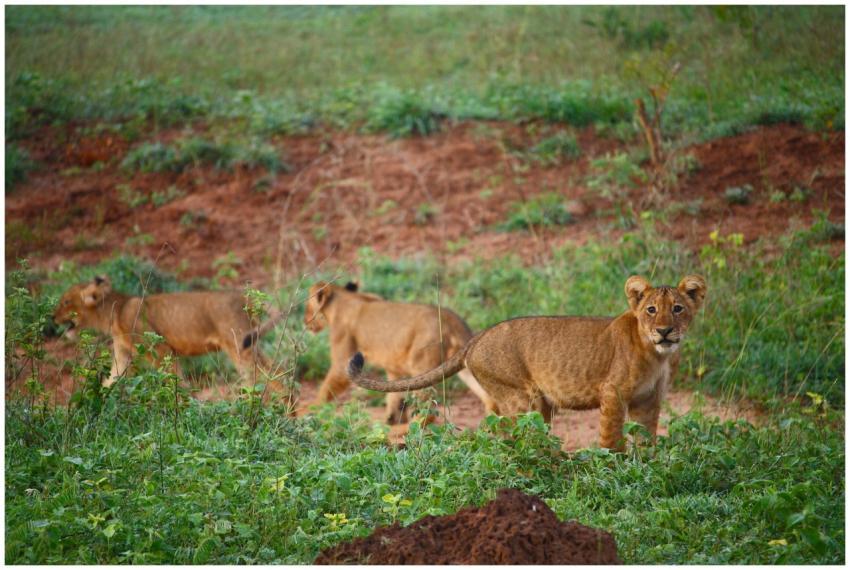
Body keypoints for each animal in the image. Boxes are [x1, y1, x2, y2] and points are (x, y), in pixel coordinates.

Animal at [53, 275, 273, 388]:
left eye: (66, 302)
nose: (52, 317)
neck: (115, 312)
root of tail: (244, 299)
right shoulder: (122, 356)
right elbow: (111, 381)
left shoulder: (161, 349)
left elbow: (176, 382)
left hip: (239, 346)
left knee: (267, 374)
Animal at [243, 281, 495, 424]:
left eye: (307, 307)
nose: (306, 321)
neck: (343, 299)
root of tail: (453, 318)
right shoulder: (395, 367)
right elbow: (394, 395)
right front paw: (392, 419)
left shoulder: (343, 357)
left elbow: (328, 387)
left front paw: (311, 408)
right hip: (461, 362)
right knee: (486, 393)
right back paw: (494, 420)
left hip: (423, 363)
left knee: (429, 405)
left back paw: (418, 426)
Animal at [348, 275, 707, 450]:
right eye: (651, 310)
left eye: (677, 309)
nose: (664, 331)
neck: (655, 354)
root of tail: (476, 338)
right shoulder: (612, 393)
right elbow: (611, 436)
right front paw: (612, 465)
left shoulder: (648, 401)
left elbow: (647, 438)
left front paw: (647, 468)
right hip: (523, 397)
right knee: (516, 438)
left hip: (539, 403)